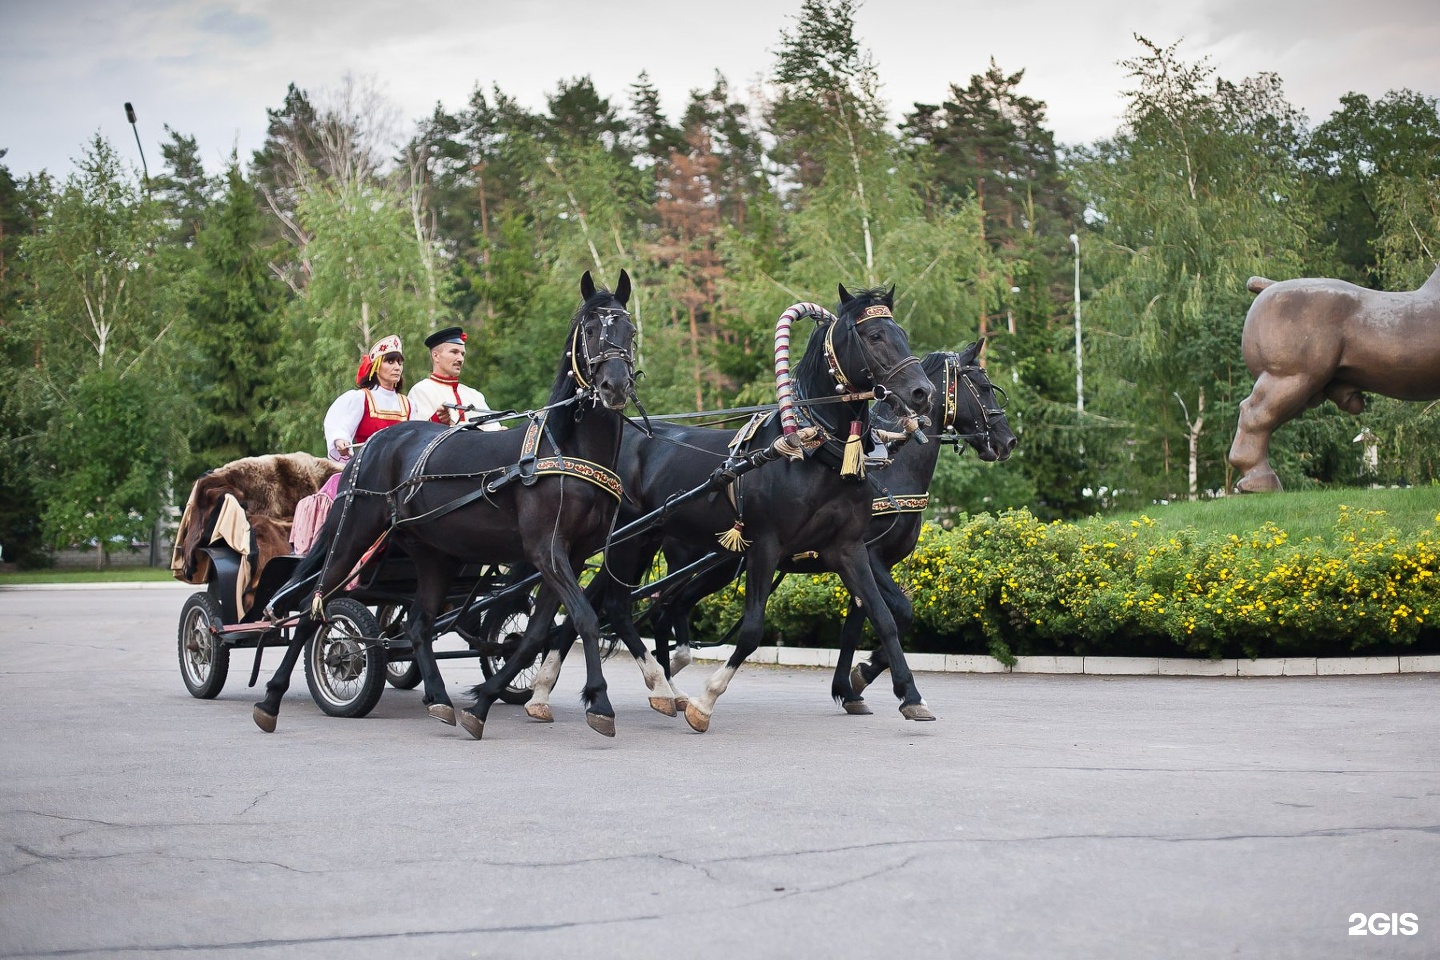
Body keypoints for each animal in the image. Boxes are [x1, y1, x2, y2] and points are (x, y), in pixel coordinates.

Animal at [257, 273, 653, 742]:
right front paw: (600, 702)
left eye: (629, 331)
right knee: (312, 608)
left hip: (433, 554)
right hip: (352, 534)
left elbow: (536, 634)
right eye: (590, 330)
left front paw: (481, 702)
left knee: (417, 623)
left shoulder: (571, 556)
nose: (615, 387)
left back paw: (440, 698)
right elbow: (586, 619)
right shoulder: (546, 550)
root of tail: (370, 447)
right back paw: (271, 700)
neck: (563, 450)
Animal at [515, 282, 933, 731]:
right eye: (874, 336)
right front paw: (706, 701)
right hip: (628, 541)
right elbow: (751, 630)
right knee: (614, 606)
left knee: (611, 604)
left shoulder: (849, 549)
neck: (814, 451)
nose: (922, 393)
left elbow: (884, 617)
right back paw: (640, 687)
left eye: (902, 333)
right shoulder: (766, 546)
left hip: (645, 541)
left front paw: (909, 694)